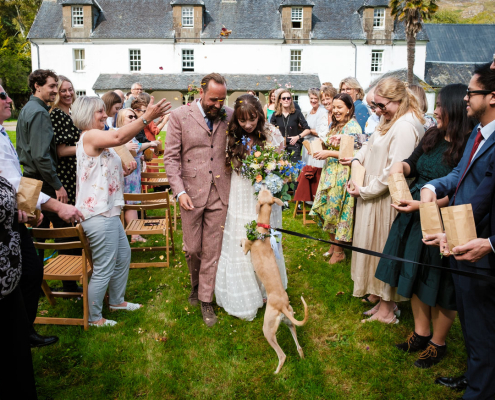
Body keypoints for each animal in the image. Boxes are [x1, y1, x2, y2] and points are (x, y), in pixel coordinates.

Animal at [242, 189, 308, 374]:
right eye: (268, 192)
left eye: (262, 194)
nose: (264, 185)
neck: (262, 231)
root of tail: (282, 306)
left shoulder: (247, 246)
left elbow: (243, 243)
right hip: (290, 323)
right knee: (299, 347)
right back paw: (301, 357)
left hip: (268, 329)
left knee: (282, 355)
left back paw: (276, 372)